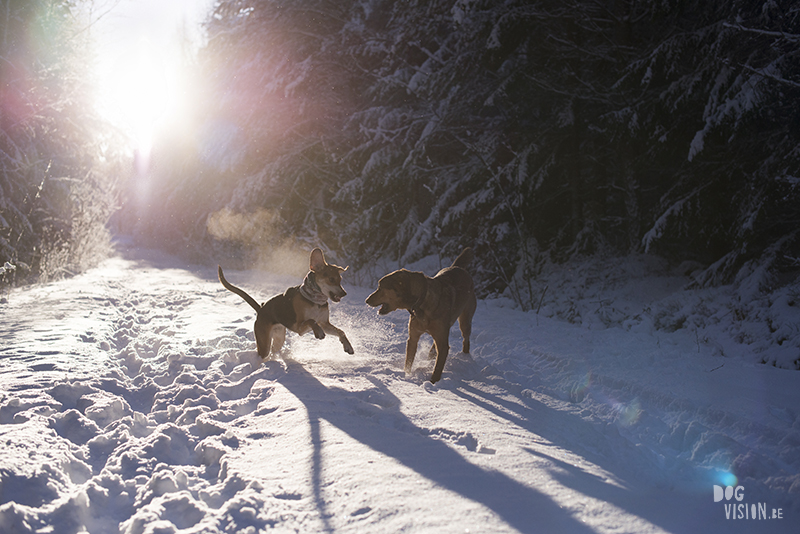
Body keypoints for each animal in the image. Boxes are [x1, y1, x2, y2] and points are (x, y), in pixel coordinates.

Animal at [220, 250, 354, 360]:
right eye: (331, 279)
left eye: (340, 280)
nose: (344, 293)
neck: (315, 301)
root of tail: (261, 309)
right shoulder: (299, 327)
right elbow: (311, 320)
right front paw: (318, 332)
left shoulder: (324, 323)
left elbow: (341, 331)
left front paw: (348, 346)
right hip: (264, 342)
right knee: (262, 354)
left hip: (279, 338)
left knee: (274, 350)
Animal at [368, 249, 476, 384]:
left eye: (380, 287)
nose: (367, 300)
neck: (422, 301)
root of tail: (459, 268)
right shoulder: (413, 338)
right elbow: (408, 362)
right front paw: (406, 376)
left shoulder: (443, 344)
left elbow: (438, 367)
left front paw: (433, 382)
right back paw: (431, 355)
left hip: (465, 320)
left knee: (465, 339)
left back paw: (465, 357)